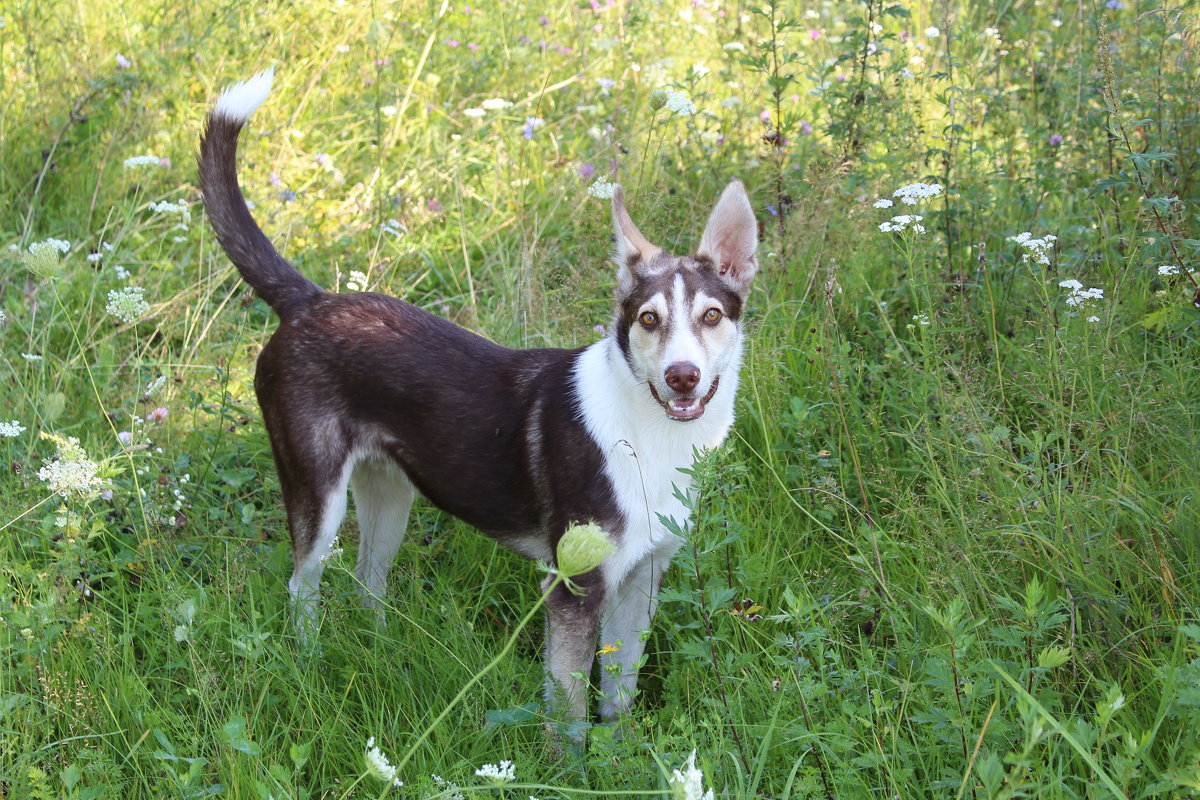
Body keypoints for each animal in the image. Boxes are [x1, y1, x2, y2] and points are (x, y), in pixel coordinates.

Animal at [198, 70, 758, 724]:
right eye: (649, 319)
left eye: (712, 315)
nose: (682, 377)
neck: (649, 434)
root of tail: (310, 300)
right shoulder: (574, 586)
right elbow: (568, 715)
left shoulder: (643, 579)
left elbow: (617, 699)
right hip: (319, 497)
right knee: (303, 588)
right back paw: (312, 669)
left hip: (389, 496)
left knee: (367, 583)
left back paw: (381, 657)